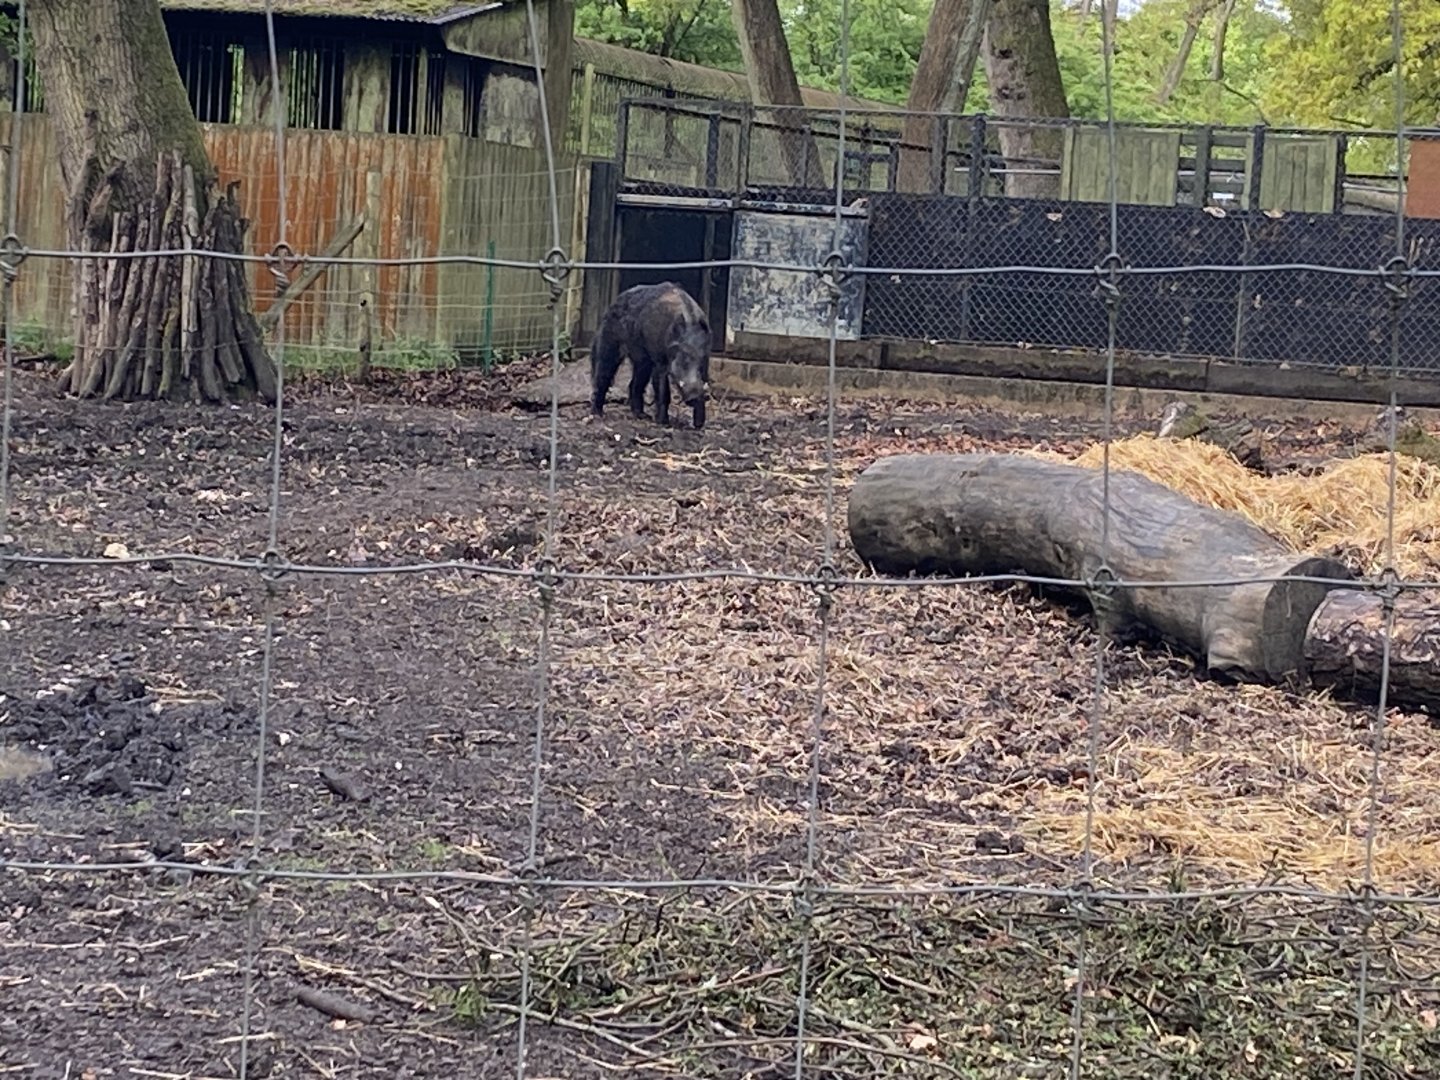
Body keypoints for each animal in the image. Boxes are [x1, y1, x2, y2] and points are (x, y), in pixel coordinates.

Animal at [589, 282, 711, 430]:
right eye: (682, 363)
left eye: (700, 364)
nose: (693, 396)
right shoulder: (659, 361)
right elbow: (663, 391)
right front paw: (663, 423)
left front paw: (699, 425)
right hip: (610, 344)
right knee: (603, 376)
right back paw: (597, 414)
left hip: (642, 361)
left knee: (634, 384)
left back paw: (641, 415)